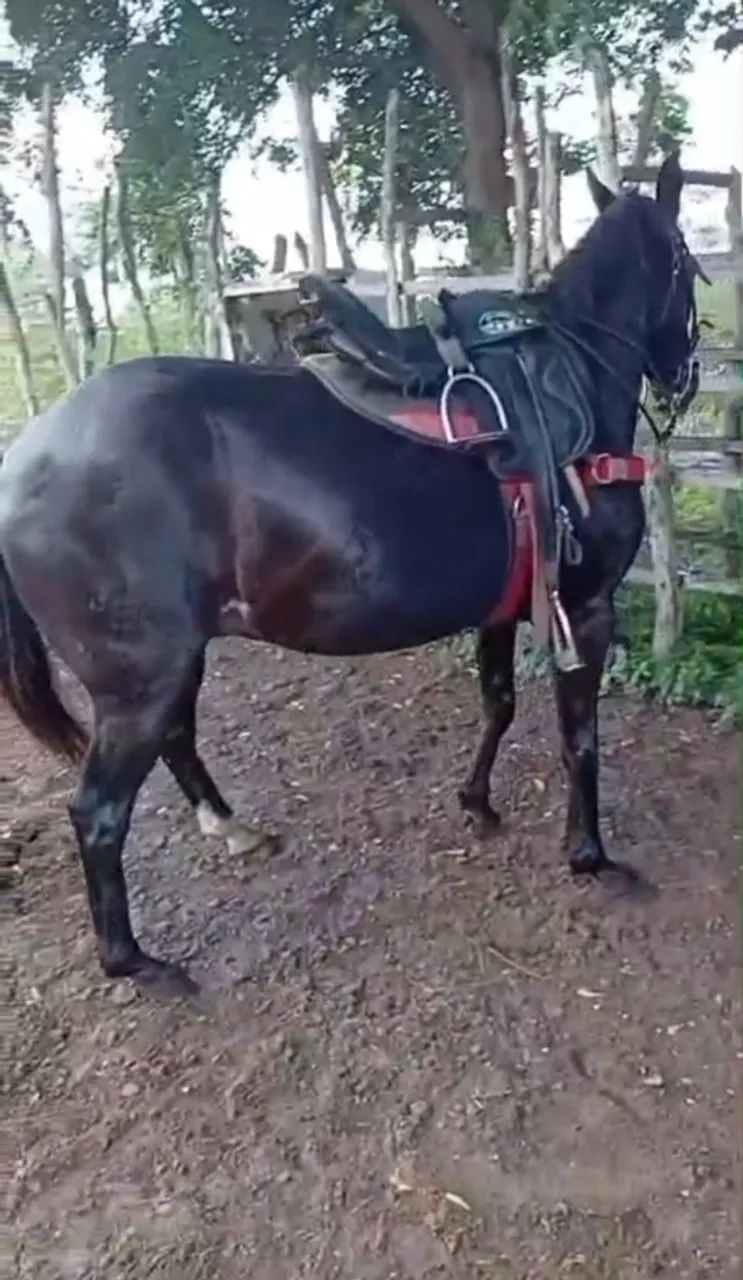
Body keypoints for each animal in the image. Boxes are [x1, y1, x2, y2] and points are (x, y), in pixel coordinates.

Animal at [0, 155, 701, 994]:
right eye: (690, 264)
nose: (684, 373)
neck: (570, 378)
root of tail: (20, 461)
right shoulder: (584, 604)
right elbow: (580, 738)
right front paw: (588, 855)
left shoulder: (501, 605)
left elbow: (497, 703)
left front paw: (476, 802)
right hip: (141, 678)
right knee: (99, 813)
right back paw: (134, 960)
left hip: (164, 666)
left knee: (174, 740)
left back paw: (229, 827)